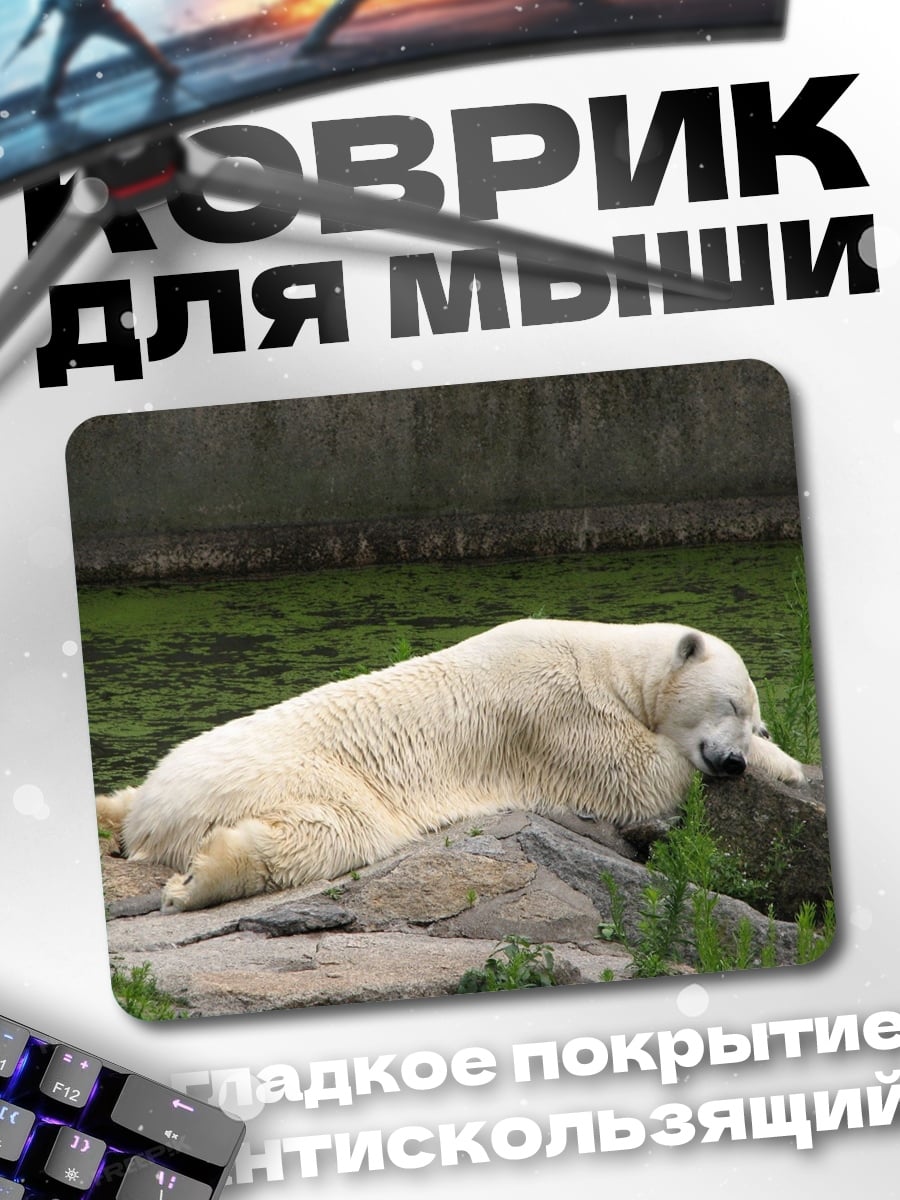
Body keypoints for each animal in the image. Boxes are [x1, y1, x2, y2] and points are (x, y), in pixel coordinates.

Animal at [95, 618, 806, 913]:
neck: (608, 660)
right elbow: (634, 772)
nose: (734, 760)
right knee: (335, 830)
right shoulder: (554, 710)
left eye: (754, 717)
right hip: (289, 774)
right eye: (730, 702)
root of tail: (157, 816)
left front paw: (788, 764)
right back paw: (197, 880)